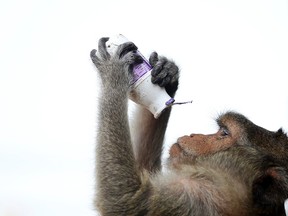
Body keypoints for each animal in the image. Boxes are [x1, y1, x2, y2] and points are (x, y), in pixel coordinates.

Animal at [90, 38, 288, 215]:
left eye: (224, 132)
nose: (194, 135)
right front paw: (168, 76)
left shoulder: (196, 198)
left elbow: (126, 199)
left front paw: (114, 72)